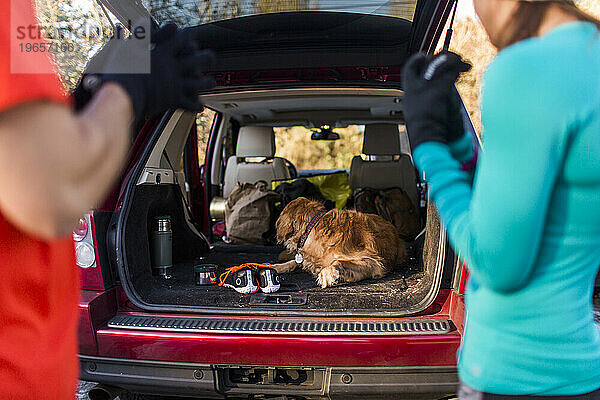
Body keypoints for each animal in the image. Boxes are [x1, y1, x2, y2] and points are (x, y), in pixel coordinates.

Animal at [274, 197, 408, 288]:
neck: (311, 228)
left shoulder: (374, 263)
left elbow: (337, 261)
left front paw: (327, 273)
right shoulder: (308, 261)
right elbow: (294, 262)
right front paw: (275, 267)